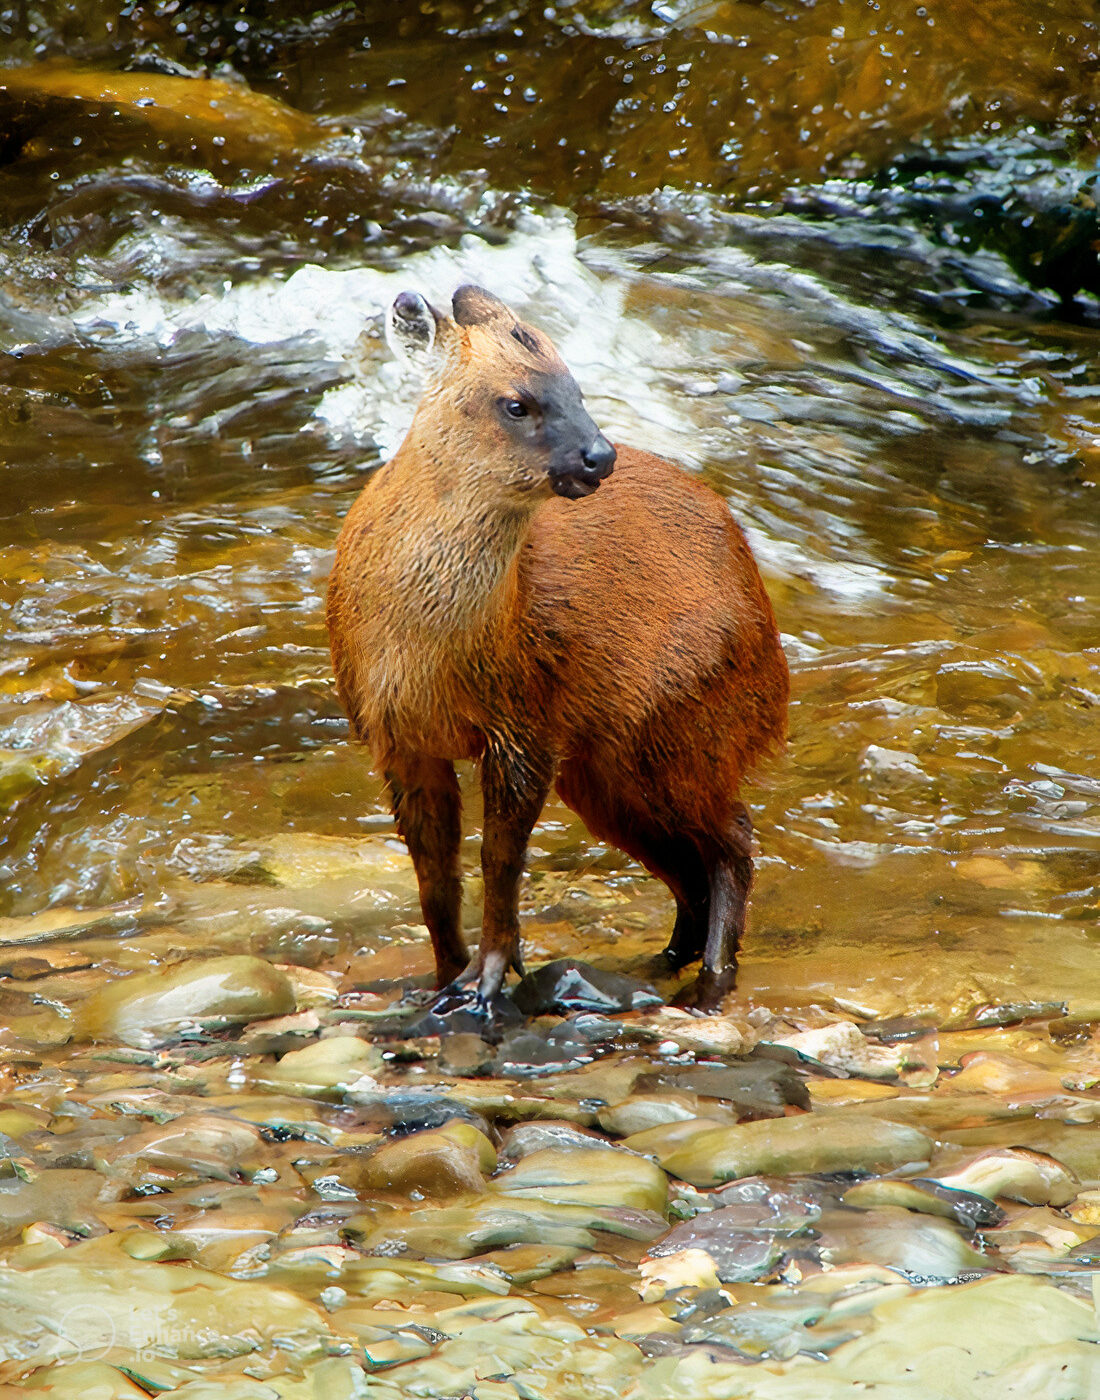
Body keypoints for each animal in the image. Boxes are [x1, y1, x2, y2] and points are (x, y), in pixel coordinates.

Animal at [326, 284, 789, 1013]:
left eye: (577, 384)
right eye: (517, 401)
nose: (600, 457)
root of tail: (777, 679)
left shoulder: (526, 724)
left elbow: (499, 860)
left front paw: (486, 978)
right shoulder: (394, 736)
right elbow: (434, 876)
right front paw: (439, 979)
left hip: (684, 729)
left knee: (733, 840)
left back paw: (710, 982)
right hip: (609, 771)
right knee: (688, 863)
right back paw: (663, 962)